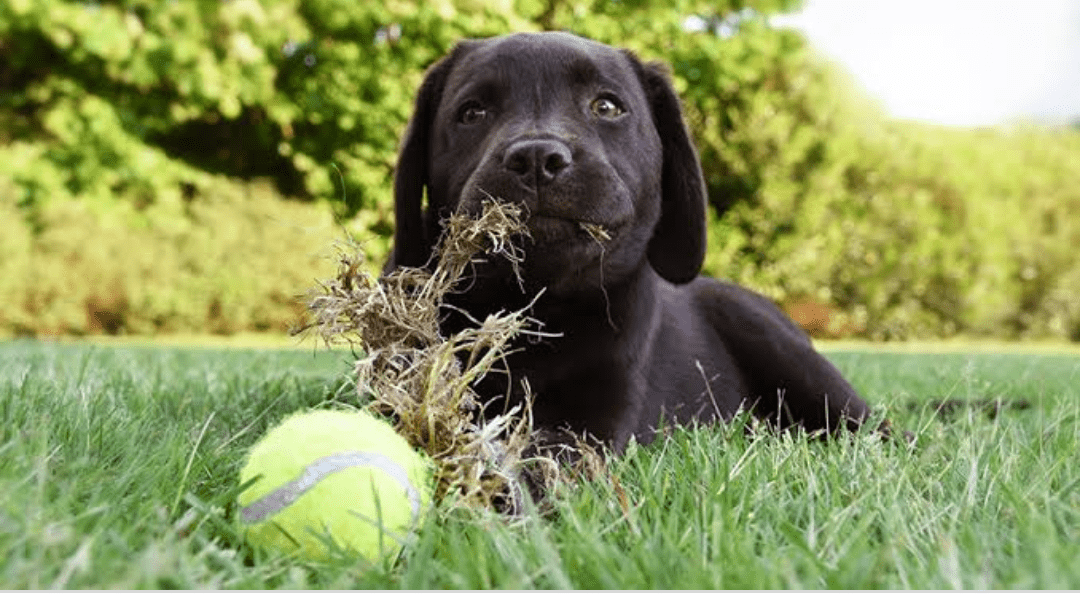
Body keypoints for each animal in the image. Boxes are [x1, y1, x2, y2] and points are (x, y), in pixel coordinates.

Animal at [384, 31, 881, 451]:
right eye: (472, 113)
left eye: (606, 107)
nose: (537, 157)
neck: (537, 309)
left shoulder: (597, 419)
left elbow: (544, 452)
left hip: (785, 351)